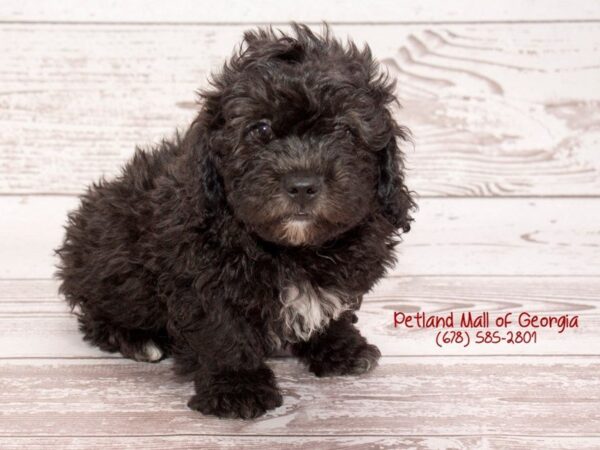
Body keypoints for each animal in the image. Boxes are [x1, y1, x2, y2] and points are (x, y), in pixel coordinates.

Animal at [56, 23, 414, 418]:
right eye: (260, 130)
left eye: (346, 132)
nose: (302, 185)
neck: (294, 250)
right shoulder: (200, 278)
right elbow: (223, 330)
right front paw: (238, 387)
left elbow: (335, 308)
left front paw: (340, 348)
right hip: (107, 261)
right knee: (96, 312)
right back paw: (139, 341)